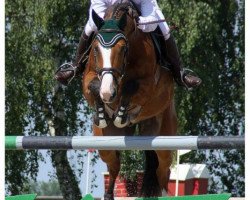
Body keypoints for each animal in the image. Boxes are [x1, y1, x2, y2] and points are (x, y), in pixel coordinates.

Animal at [81, 1, 176, 198]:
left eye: (123, 49)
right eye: (95, 49)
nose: (108, 93)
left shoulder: (149, 86)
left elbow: (129, 87)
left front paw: (120, 115)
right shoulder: (90, 77)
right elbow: (93, 86)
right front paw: (101, 113)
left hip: (164, 139)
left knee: (163, 170)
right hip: (106, 143)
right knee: (114, 166)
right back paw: (108, 195)